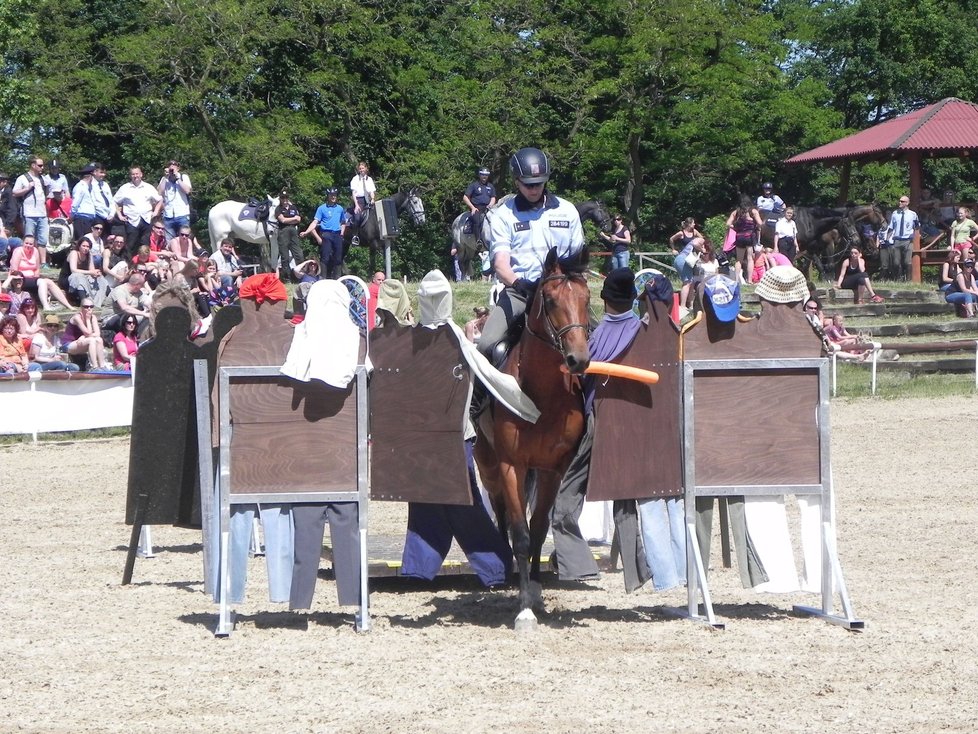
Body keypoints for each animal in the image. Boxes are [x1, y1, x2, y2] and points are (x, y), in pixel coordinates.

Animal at [470, 247, 588, 632]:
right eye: (549, 300)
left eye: (586, 298)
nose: (578, 360)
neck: (544, 396)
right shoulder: (512, 465)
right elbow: (521, 534)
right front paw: (523, 610)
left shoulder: (553, 469)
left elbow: (537, 530)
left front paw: (534, 592)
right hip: (489, 465)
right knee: (502, 514)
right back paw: (506, 569)